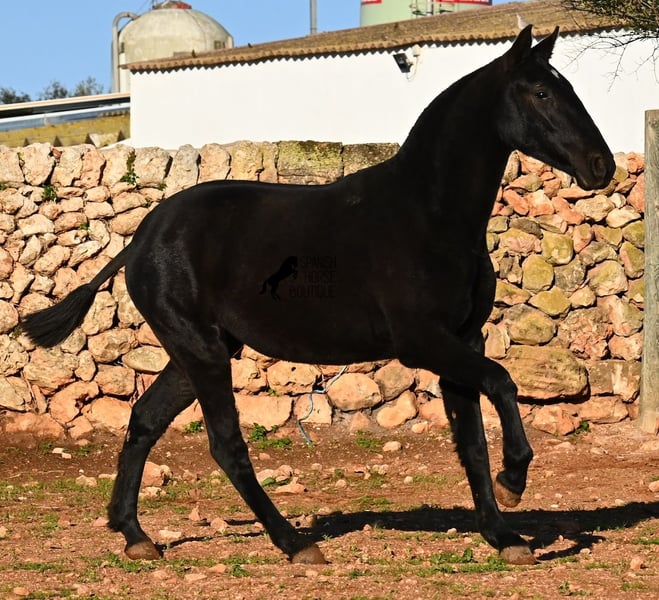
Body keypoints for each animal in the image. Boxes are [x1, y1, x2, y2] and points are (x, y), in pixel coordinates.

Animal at [22, 25, 614, 566]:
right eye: (540, 92)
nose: (601, 165)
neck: (428, 215)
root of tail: (143, 238)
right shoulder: (424, 342)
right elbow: (504, 383)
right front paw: (514, 480)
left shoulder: (460, 345)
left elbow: (471, 441)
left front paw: (503, 535)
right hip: (201, 351)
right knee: (225, 444)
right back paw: (294, 543)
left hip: (197, 352)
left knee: (144, 421)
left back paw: (135, 535)